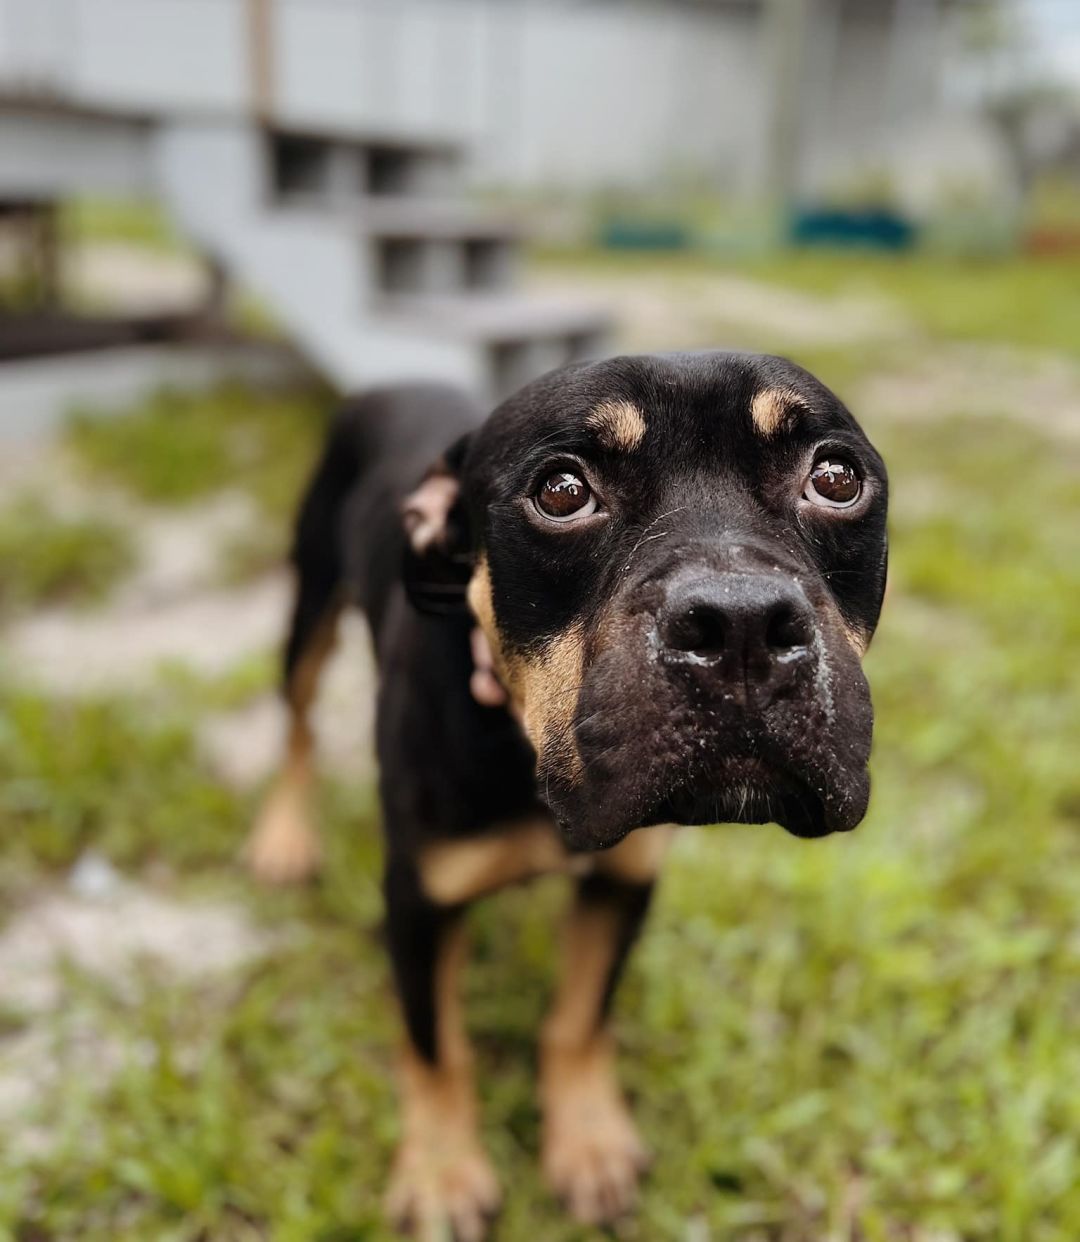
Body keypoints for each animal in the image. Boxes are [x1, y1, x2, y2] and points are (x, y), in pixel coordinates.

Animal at [245, 352, 888, 1242]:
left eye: (835, 478)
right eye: (561, 492)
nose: (742, 626)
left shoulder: (625, 881)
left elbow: (579, 1020)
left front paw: (588, 1143)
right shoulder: (418, 897)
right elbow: (436, 1046)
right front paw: (442, 1171)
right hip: (309, 605)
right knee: (298, 722)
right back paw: (285, 833)